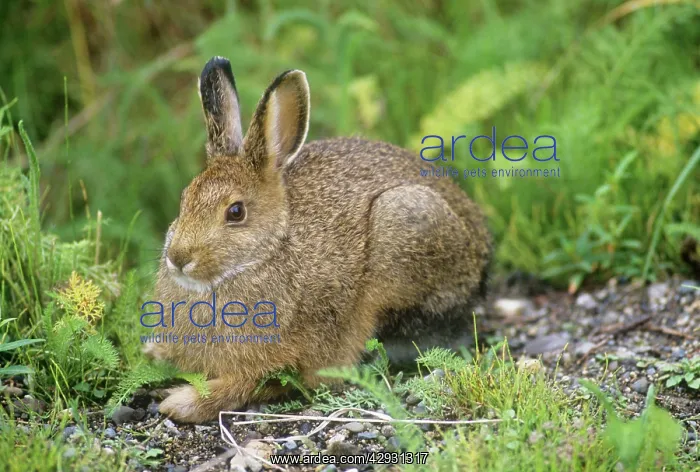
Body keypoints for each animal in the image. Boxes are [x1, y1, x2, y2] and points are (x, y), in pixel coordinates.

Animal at [147, 56, 492, 423]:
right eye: (185, 199)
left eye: (236, 212)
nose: (178, 258)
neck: (267, 253)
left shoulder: (287, 357)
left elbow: (252, 384)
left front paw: (183, 402)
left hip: (406, 225)